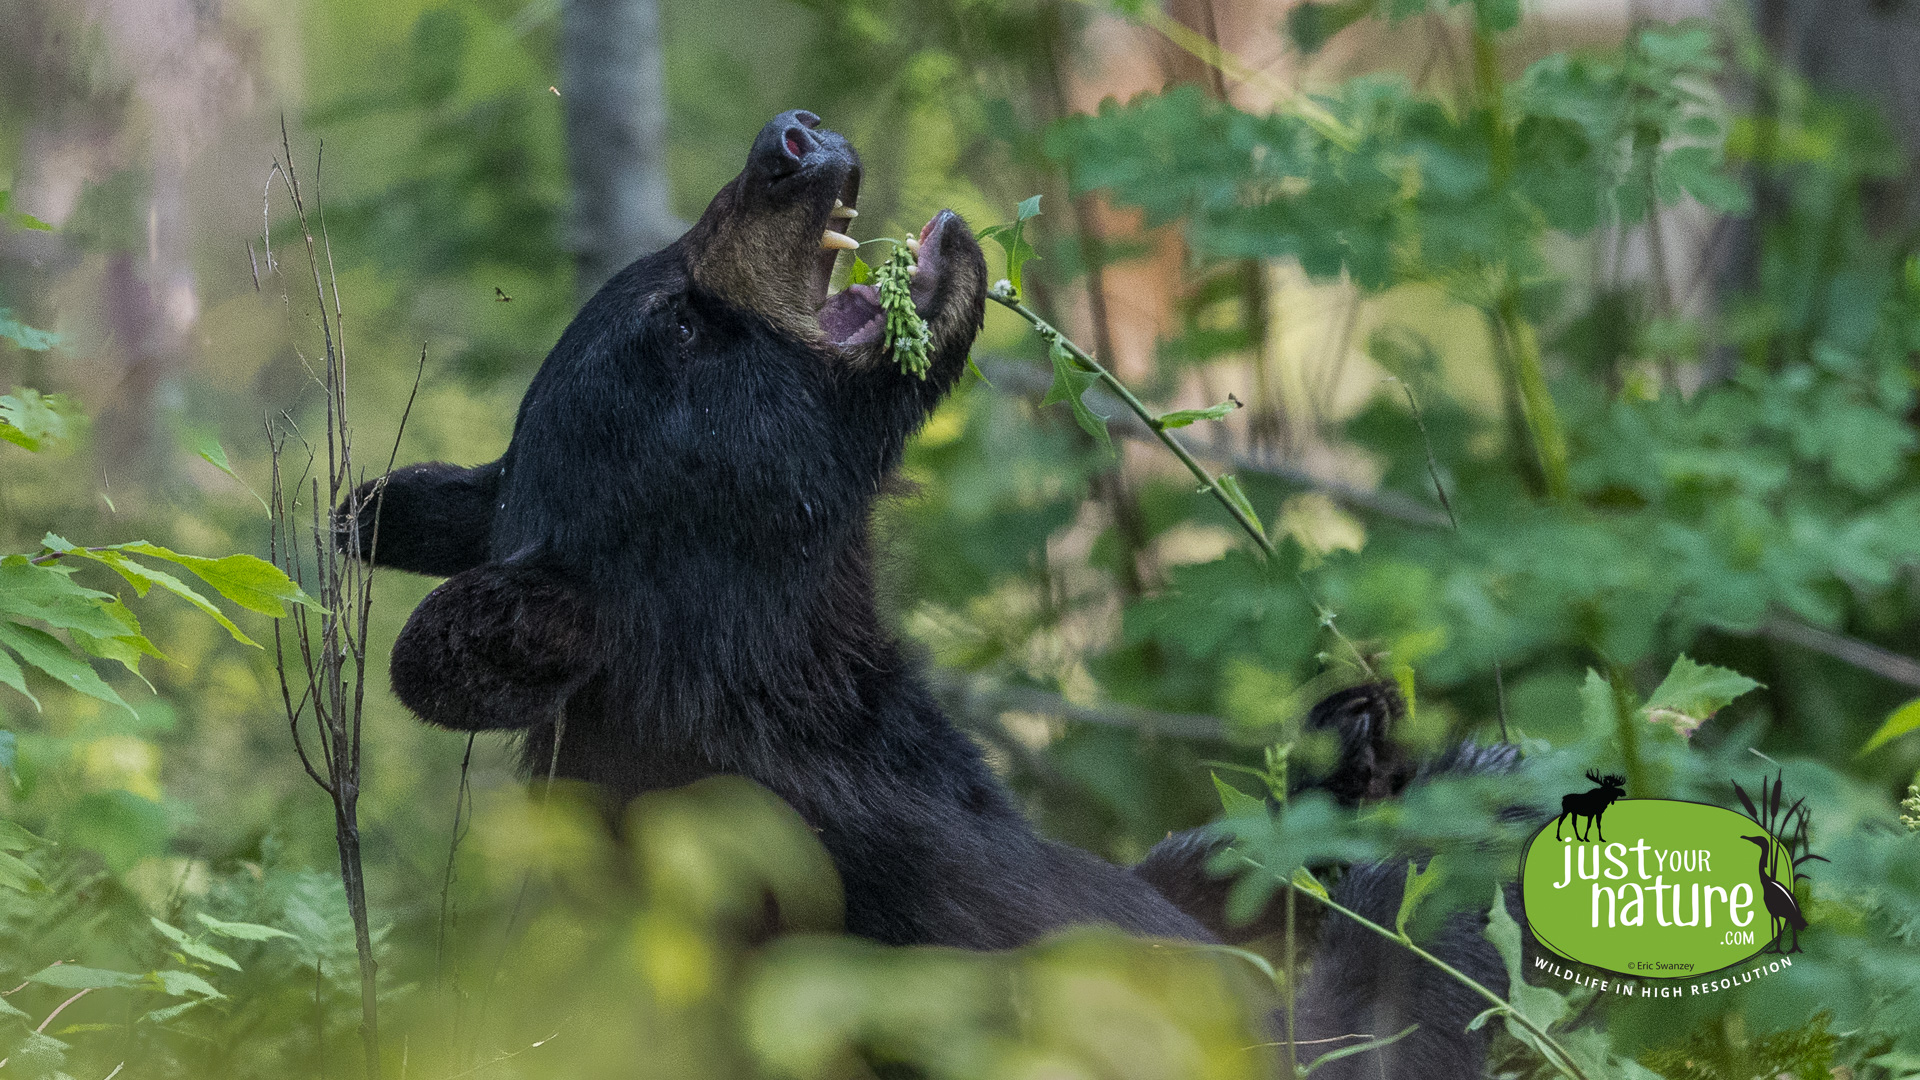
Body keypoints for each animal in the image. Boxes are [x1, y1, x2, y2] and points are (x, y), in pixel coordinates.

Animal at [349, 111, 1512, 1076]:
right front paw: (1477, 805)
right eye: (678, 326)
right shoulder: (950, 918)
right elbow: (1334, 1031)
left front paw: (1339, 758)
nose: (787, 139)